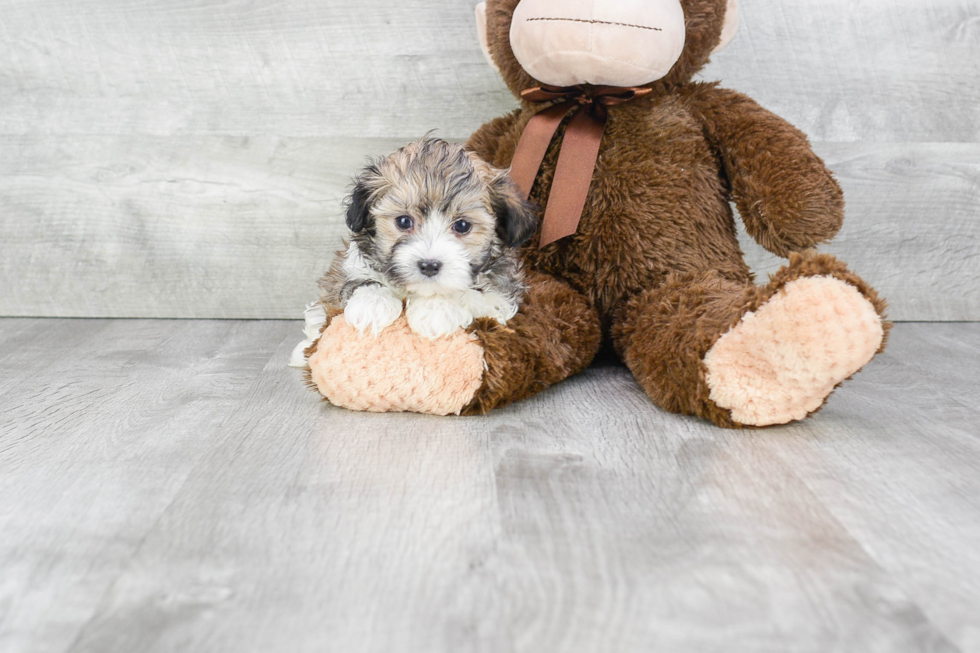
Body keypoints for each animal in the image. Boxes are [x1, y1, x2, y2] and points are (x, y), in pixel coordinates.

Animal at [318, 136, 536, 344]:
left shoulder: (501, 295)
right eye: (404, 221)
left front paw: (436, 311)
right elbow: (360, 281)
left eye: (462, 226)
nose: (429, 266)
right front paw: (371, 305)